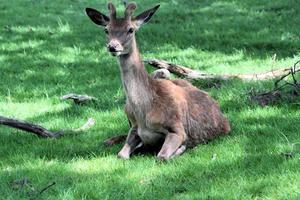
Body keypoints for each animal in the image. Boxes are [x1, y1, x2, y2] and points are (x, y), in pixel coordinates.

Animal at [85, 2, 231, 160]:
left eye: (130, 29)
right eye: (106, 30)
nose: (113, 46)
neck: (144, 113)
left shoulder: (176, 128)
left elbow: (162, 156)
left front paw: (183, 147)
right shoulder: (134, 127)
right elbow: (121, 155)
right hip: (127, 108)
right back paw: (108, 140)